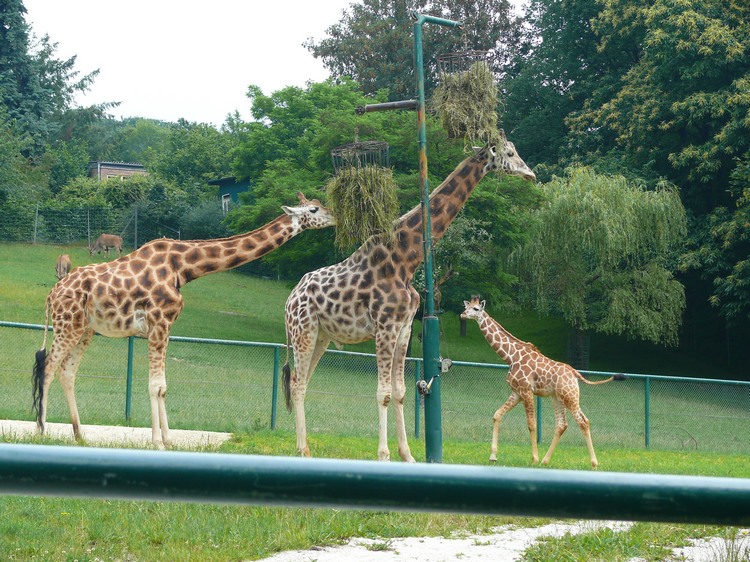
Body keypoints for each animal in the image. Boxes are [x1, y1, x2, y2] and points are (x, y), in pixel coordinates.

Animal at [33, 192, 334, 446]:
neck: (184, 267)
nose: (334, 217)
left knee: (67, 371)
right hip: (66, 325)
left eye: (319, 203)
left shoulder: (164, 327)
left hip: (84, 330)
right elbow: (156, 385)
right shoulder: (159, 323)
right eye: (313, 208)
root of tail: (51, 295)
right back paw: (42, 430)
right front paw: (157, 442)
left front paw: (168, 440)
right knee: (48, 366)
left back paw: (79, 435)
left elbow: (163, 387)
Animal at [284, 131, 536, 460]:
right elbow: (383, 393)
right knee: (297, 382)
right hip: (303, 331)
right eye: (509, 153)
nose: (531, 174)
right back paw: (303, 451)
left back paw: (304, 447)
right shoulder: (385, 327)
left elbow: (401, 392)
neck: (406, 259)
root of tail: (289, 299)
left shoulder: (403, 328)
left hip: (322, 336)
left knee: (303, 380)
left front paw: (407, 455)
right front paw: (384, 455)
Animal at [462, 296, 624, 466]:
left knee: (583, 421)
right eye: (466, 307)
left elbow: (532, 424)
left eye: (476, 309)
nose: (462, 315)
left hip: (570, 397)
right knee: (561, 424)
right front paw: (493, 456)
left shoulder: (526, 391)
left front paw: (534, 458)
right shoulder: (516, 392)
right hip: (558, 398)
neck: (510, 356)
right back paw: (545, 461)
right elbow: (497, 415)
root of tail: (575, 374)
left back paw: (593, 463)